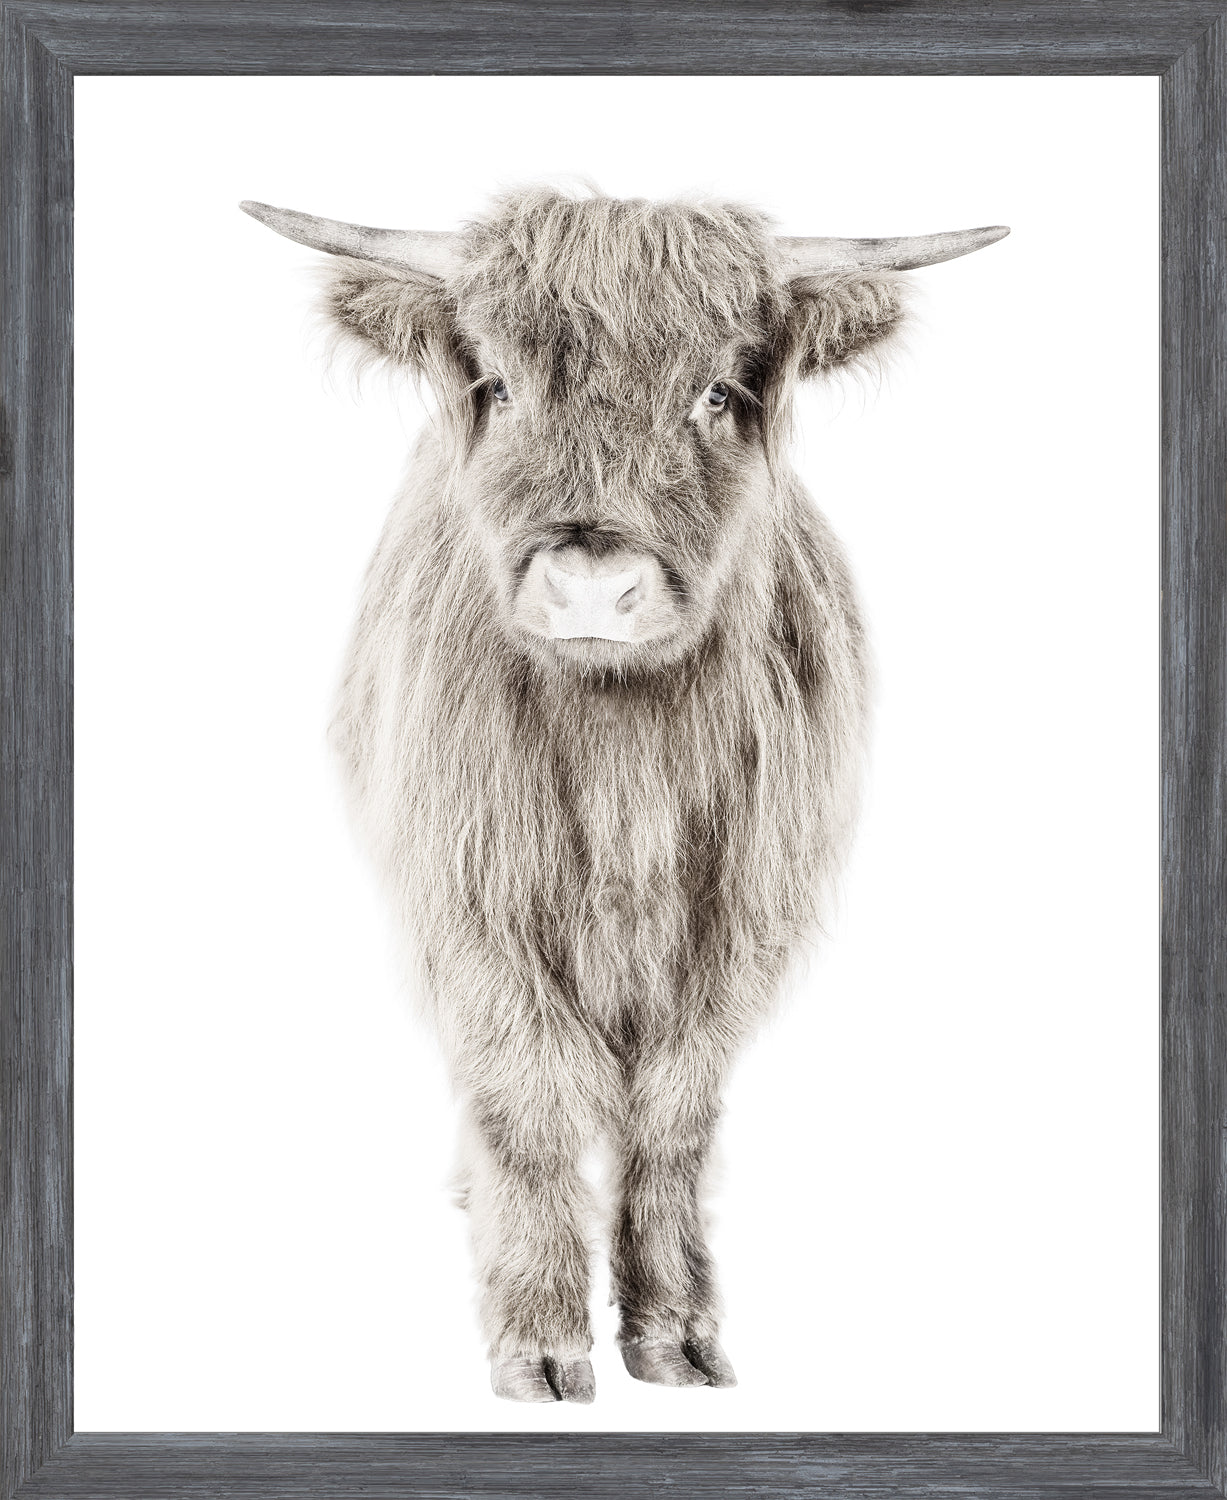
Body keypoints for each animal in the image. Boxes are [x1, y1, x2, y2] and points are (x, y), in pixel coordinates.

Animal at [242, 188, 1007, 1403]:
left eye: (718, 392)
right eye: (499, 385)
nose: (593, 585)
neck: (621, 757)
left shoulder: (740, 920)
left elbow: (673, 1117)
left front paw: (676, 1333)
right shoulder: (472, 904)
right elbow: (527, 1099)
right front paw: (539, 1341)